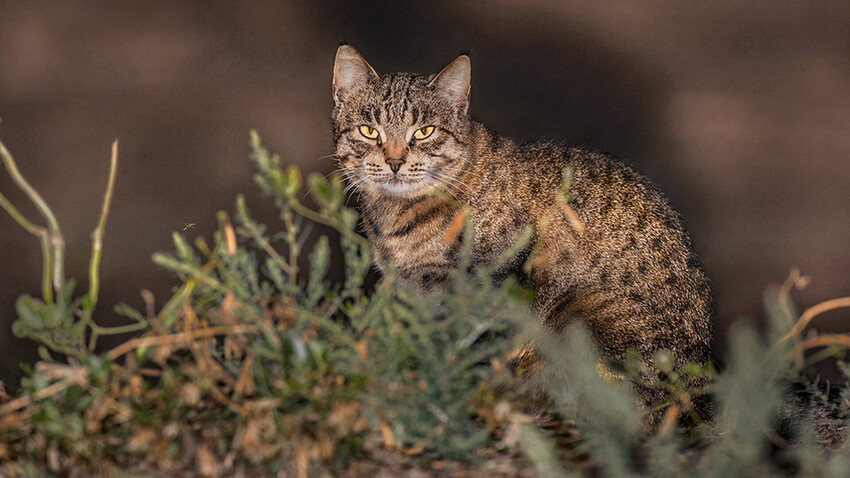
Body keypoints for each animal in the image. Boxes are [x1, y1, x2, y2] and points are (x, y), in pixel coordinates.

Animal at [328, 45, 712, 410]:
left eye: (424, 132)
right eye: (369, 131)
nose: (394, 161)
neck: (397, 217)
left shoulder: (499, 286)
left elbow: (479, 349)